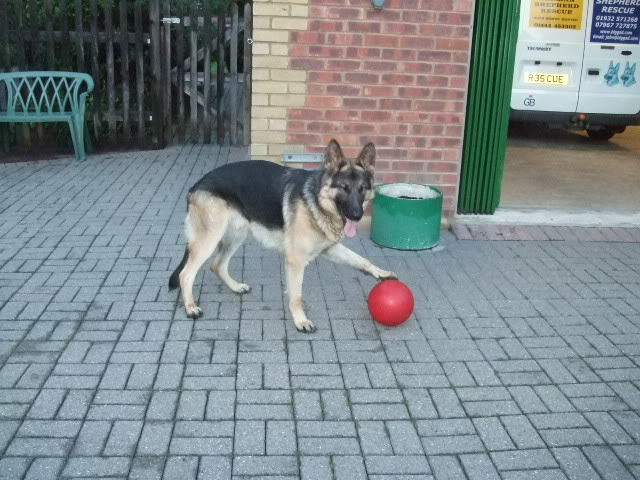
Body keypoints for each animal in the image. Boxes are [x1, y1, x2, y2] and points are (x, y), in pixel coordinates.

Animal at [168, 141, 396, 332]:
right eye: (344, 188)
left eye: (362, 189)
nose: (357, 215)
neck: (316, 200)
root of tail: (196, 185)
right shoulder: (295, 261)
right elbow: (296, 296)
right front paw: (301, 320)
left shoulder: (329, 249)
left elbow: (362, 259)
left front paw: (382, 273)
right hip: (209, 239)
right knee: (186, 274)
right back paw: (191, 308)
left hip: (236, 236)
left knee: (217, 265)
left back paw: (235, 287)